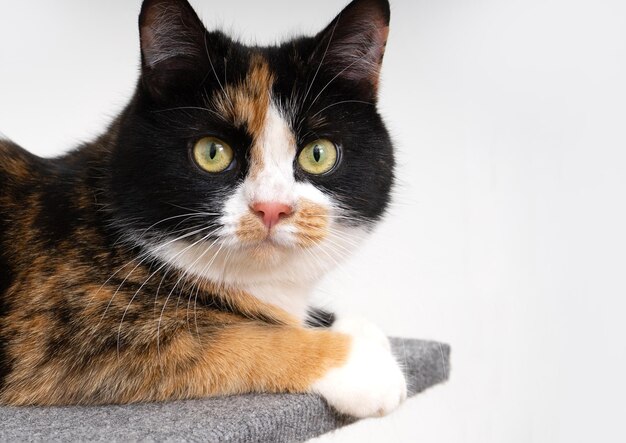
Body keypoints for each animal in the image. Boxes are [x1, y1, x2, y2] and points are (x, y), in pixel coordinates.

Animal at [0, 0, 404, 420]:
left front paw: (351, 327)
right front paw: (362, 365)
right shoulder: (64, 325)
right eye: (211, 152)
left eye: (318, 154)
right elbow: (233, 339)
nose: (271, 208)